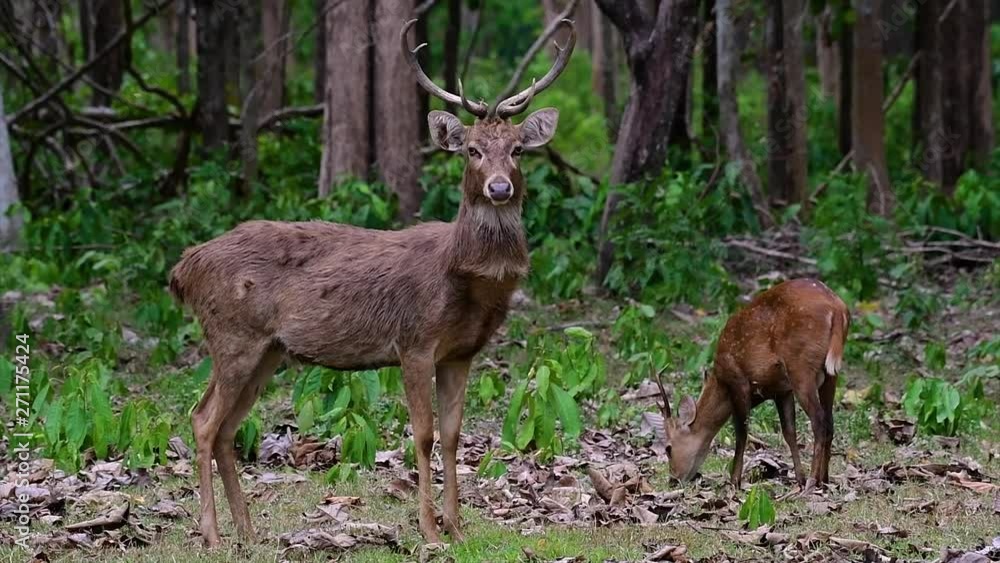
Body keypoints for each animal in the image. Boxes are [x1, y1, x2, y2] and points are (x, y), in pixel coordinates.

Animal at [168, 18, 576, 547]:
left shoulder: (461, 352)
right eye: (472, 150)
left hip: (268, 349)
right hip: (232, 335)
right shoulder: (415, 340)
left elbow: (453, 436)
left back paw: (248, 532)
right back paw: (214, 535)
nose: (500, 187)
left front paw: (458, 527)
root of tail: (184, 268)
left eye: (518, 150)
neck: (466, 280)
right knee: (201, 420)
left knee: (224, 427)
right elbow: (422, 435)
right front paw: (430, 531)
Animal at [655, 279, 850, 492]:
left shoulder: (739, 381)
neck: (720, 382)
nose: (673, 480)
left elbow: (741, 434)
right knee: (829, 422)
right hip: (830, 375)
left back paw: (812, 482)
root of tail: (837, 308)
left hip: (801, 368)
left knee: (819, 422)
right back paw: (824, 480)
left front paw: (734, 481)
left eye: (668, 448)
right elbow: (789, 432)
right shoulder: (782, 391)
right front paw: (798, 477)